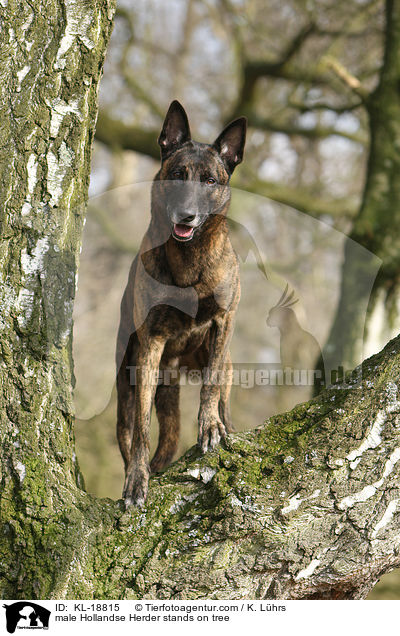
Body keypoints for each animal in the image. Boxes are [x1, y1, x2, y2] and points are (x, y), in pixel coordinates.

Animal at [116, 99, 247, 506]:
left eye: (210, 180)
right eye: (177, 174)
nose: (186, 215)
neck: (188, 260)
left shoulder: (224, 321)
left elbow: (209, 388)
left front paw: (209, 427)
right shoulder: (151, 344)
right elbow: (142, 430)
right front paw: (137, 479)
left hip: (225, 365)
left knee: (222, 395)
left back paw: (224, 424)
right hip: (130, 384)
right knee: (132, 432)